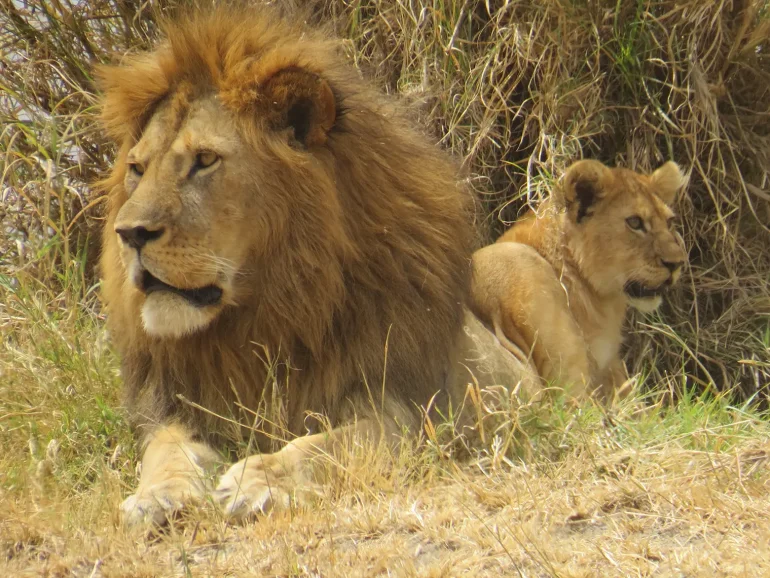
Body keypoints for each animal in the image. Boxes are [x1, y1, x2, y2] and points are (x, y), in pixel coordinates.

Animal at [97, 6, 528, 524]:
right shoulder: (174, 406)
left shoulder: (407, 409)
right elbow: (165, 449)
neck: (269, 309)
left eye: (204, 160)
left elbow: (327, 445)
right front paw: (159, 495)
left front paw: (260, 480)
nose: (129, 233)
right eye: (137, 169)